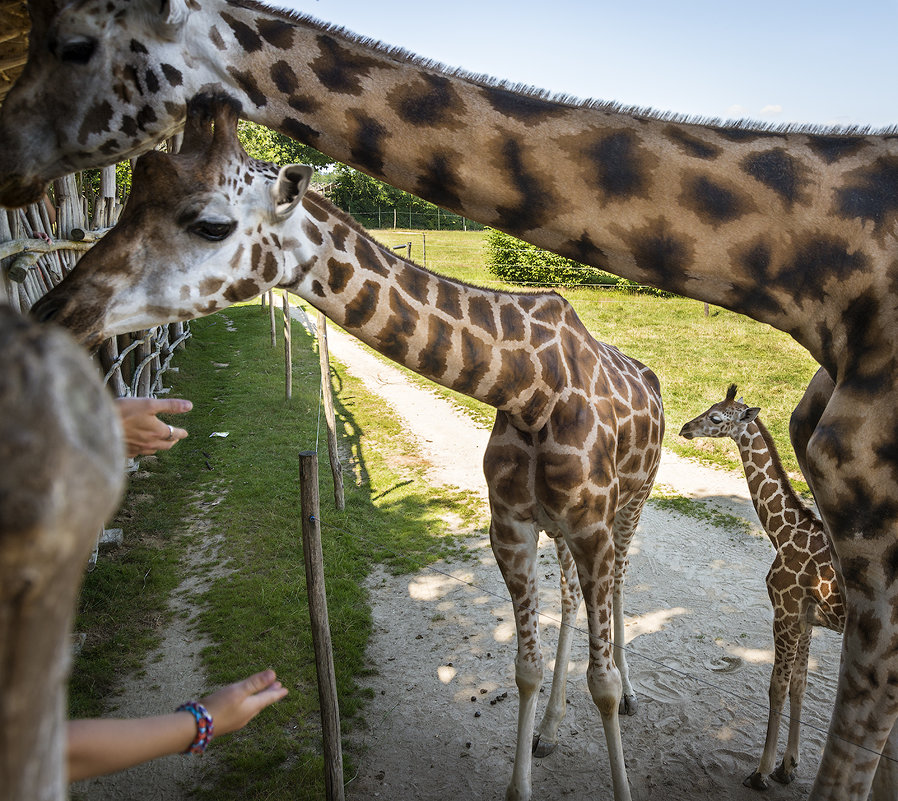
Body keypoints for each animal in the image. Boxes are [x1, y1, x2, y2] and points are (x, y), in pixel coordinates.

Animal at [33, 90, 664, 796]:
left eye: (211, 225)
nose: (56, 311)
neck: (532, 389)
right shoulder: (512, 525)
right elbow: (523, 665)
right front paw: (523, 775)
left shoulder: (592, 527)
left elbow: (600, 681)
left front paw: (617, 740)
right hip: (566, 529)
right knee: (571, 599)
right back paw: (552, 728)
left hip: (631, 504)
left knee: (618, 584)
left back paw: (629, 694)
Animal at [680, 384, 840, 792]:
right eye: (711, 406)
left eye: (716, 417)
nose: (685, 429)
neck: (783, 532)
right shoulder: (805, 618)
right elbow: (799, 684)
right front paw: (788, 767)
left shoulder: (785, 611)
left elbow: (776, 686)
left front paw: (761, 772)